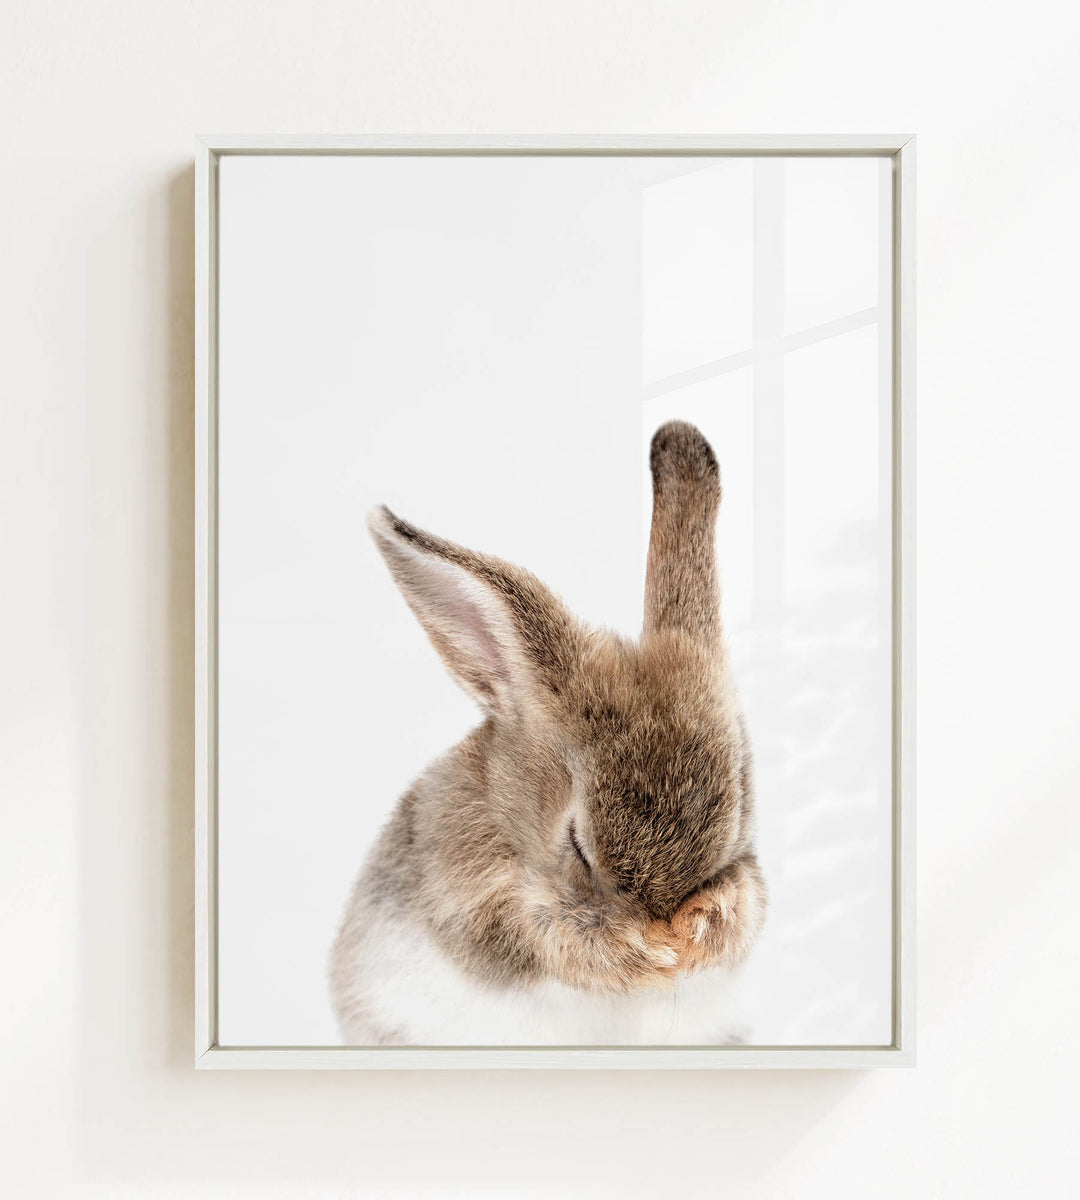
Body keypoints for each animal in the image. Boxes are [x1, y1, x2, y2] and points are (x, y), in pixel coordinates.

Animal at [329, 421, 767, 1045]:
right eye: (577, 844)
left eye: (739, 809)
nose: (665, 923)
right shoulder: (480, 908)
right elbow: (548, 937)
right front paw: (648, 952)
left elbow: (746, 903)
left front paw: (700, 930)